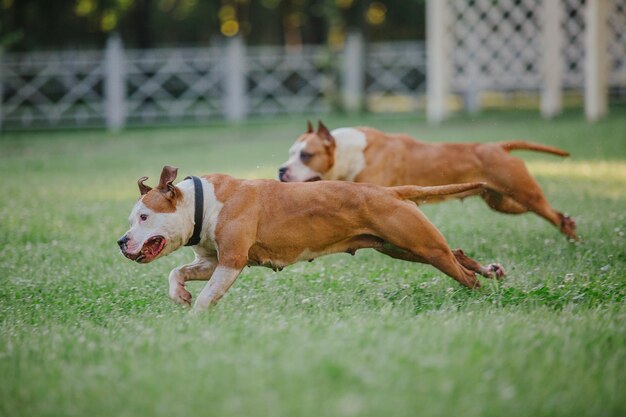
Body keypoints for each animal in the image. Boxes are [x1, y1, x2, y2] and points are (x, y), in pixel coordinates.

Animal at [119, 164, 504, 310]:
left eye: (144, 216)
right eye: (131, 219)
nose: (122, 242)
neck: (203, 203)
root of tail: (390, 192)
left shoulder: (231, 262)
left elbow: (207, 296)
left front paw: (195, 319)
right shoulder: (211, 261)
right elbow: (177, 271)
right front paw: (179, 294)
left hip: (420, 245)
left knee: (462, 273)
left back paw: (481, 294)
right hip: (403, 248)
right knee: (457, 253)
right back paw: (491, 270)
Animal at [278, 120, 576, 239]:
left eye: (306, 155)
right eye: (290, 153)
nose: (281, 170)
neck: (346, 152)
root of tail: (498, 146)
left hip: (524, 193)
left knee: (551, 214)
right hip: (503, 202)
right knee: (555, 213)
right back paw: (570, 224)